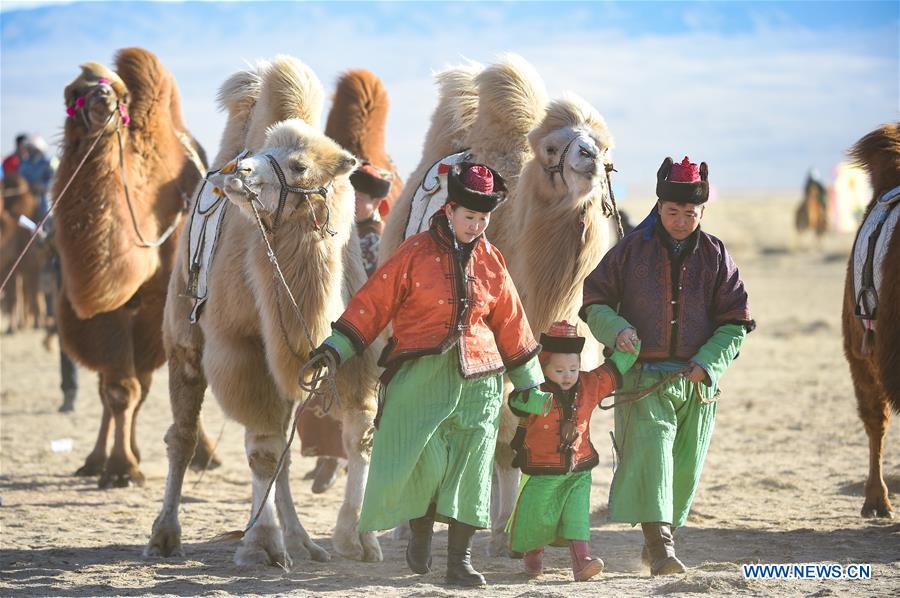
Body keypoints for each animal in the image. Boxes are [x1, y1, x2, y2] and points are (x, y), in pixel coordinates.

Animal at [53, 47, 217, 488]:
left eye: (120, 93)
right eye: (72, 92)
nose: (102, 100)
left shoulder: (158, 304)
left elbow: (136, 386)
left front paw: (124, 466)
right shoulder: (98, 310)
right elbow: (116, 388)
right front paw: (114, 465)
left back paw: (205, 455)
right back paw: (96, 458)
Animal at [145, 55, 382, 566]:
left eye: (299, 164)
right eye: (262, 149)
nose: (234, 172)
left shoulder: (351, 349)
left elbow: (358, 436)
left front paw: (357, 538)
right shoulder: (243, 349)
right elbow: (262, 450)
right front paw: (261, 544)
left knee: (286, 448)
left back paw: (304, 540)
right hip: (183, 341)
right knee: (183, 436)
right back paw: (165, 535)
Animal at [380, 55, 617, 554]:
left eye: (604, 146)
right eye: (552, 147)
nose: (588, 157)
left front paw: (514, 528)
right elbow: (505, 433)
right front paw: (500, 530)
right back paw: (404, 525)